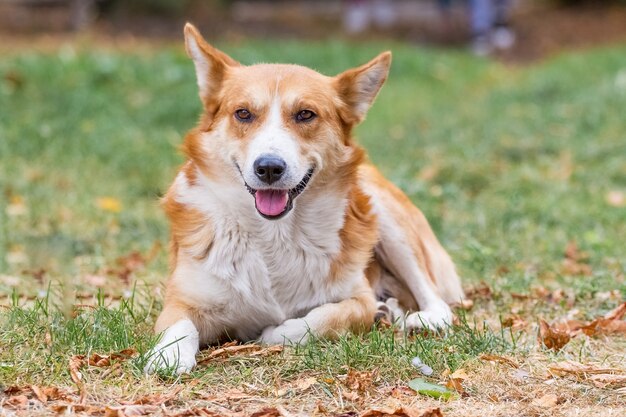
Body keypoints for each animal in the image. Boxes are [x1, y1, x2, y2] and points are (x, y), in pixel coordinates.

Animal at [144, 23, 460, 374]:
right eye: (243, 113)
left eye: (305, 114)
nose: (269, 168)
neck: (273, 235)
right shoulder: (182, 300)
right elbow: (179, 325)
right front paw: (169, 355)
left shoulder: (358, 300)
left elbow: (321, 318)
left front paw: (273, 332)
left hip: (387, 218)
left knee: (435, 296)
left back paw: (421, 318)